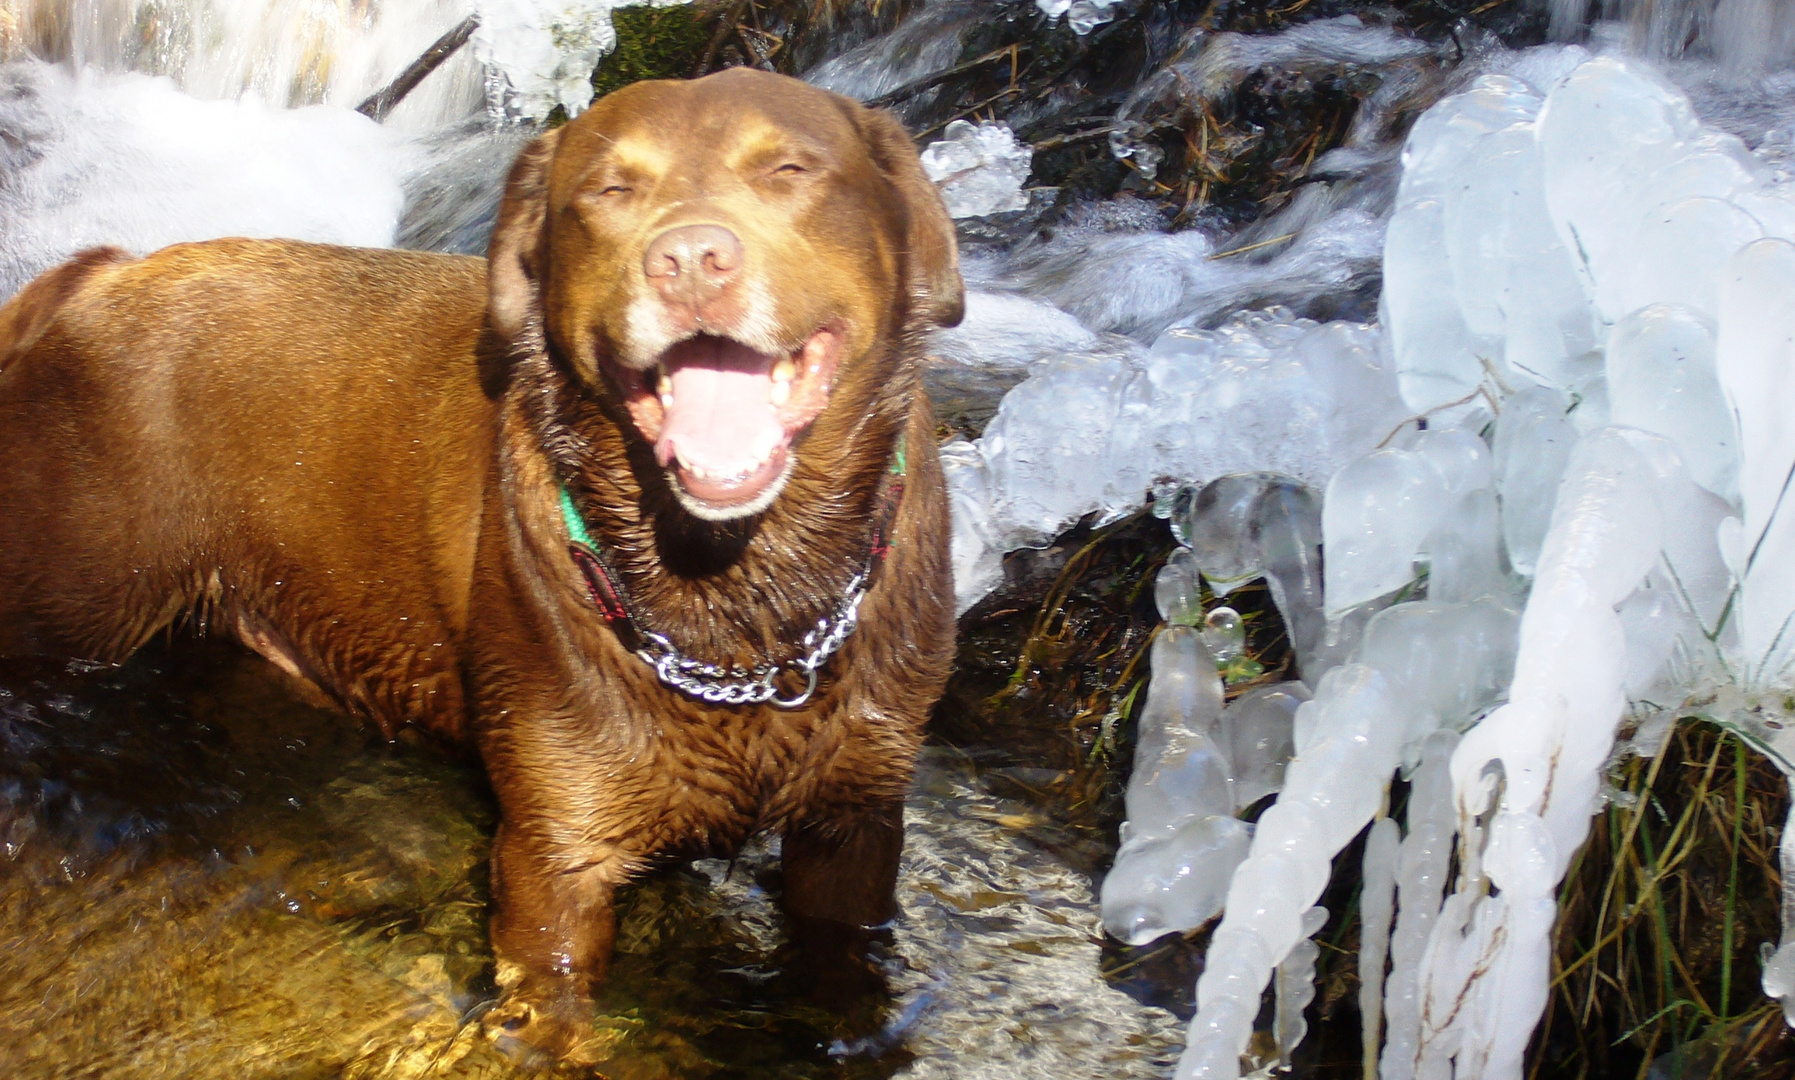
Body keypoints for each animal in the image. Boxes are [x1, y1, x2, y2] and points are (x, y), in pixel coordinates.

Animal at [0, 69, 969, 1040]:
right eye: (606, 192)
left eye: (789, 169)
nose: (691, 259)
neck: (740, 604)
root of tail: (97, 272)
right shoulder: (555, 854)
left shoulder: (856, 821)